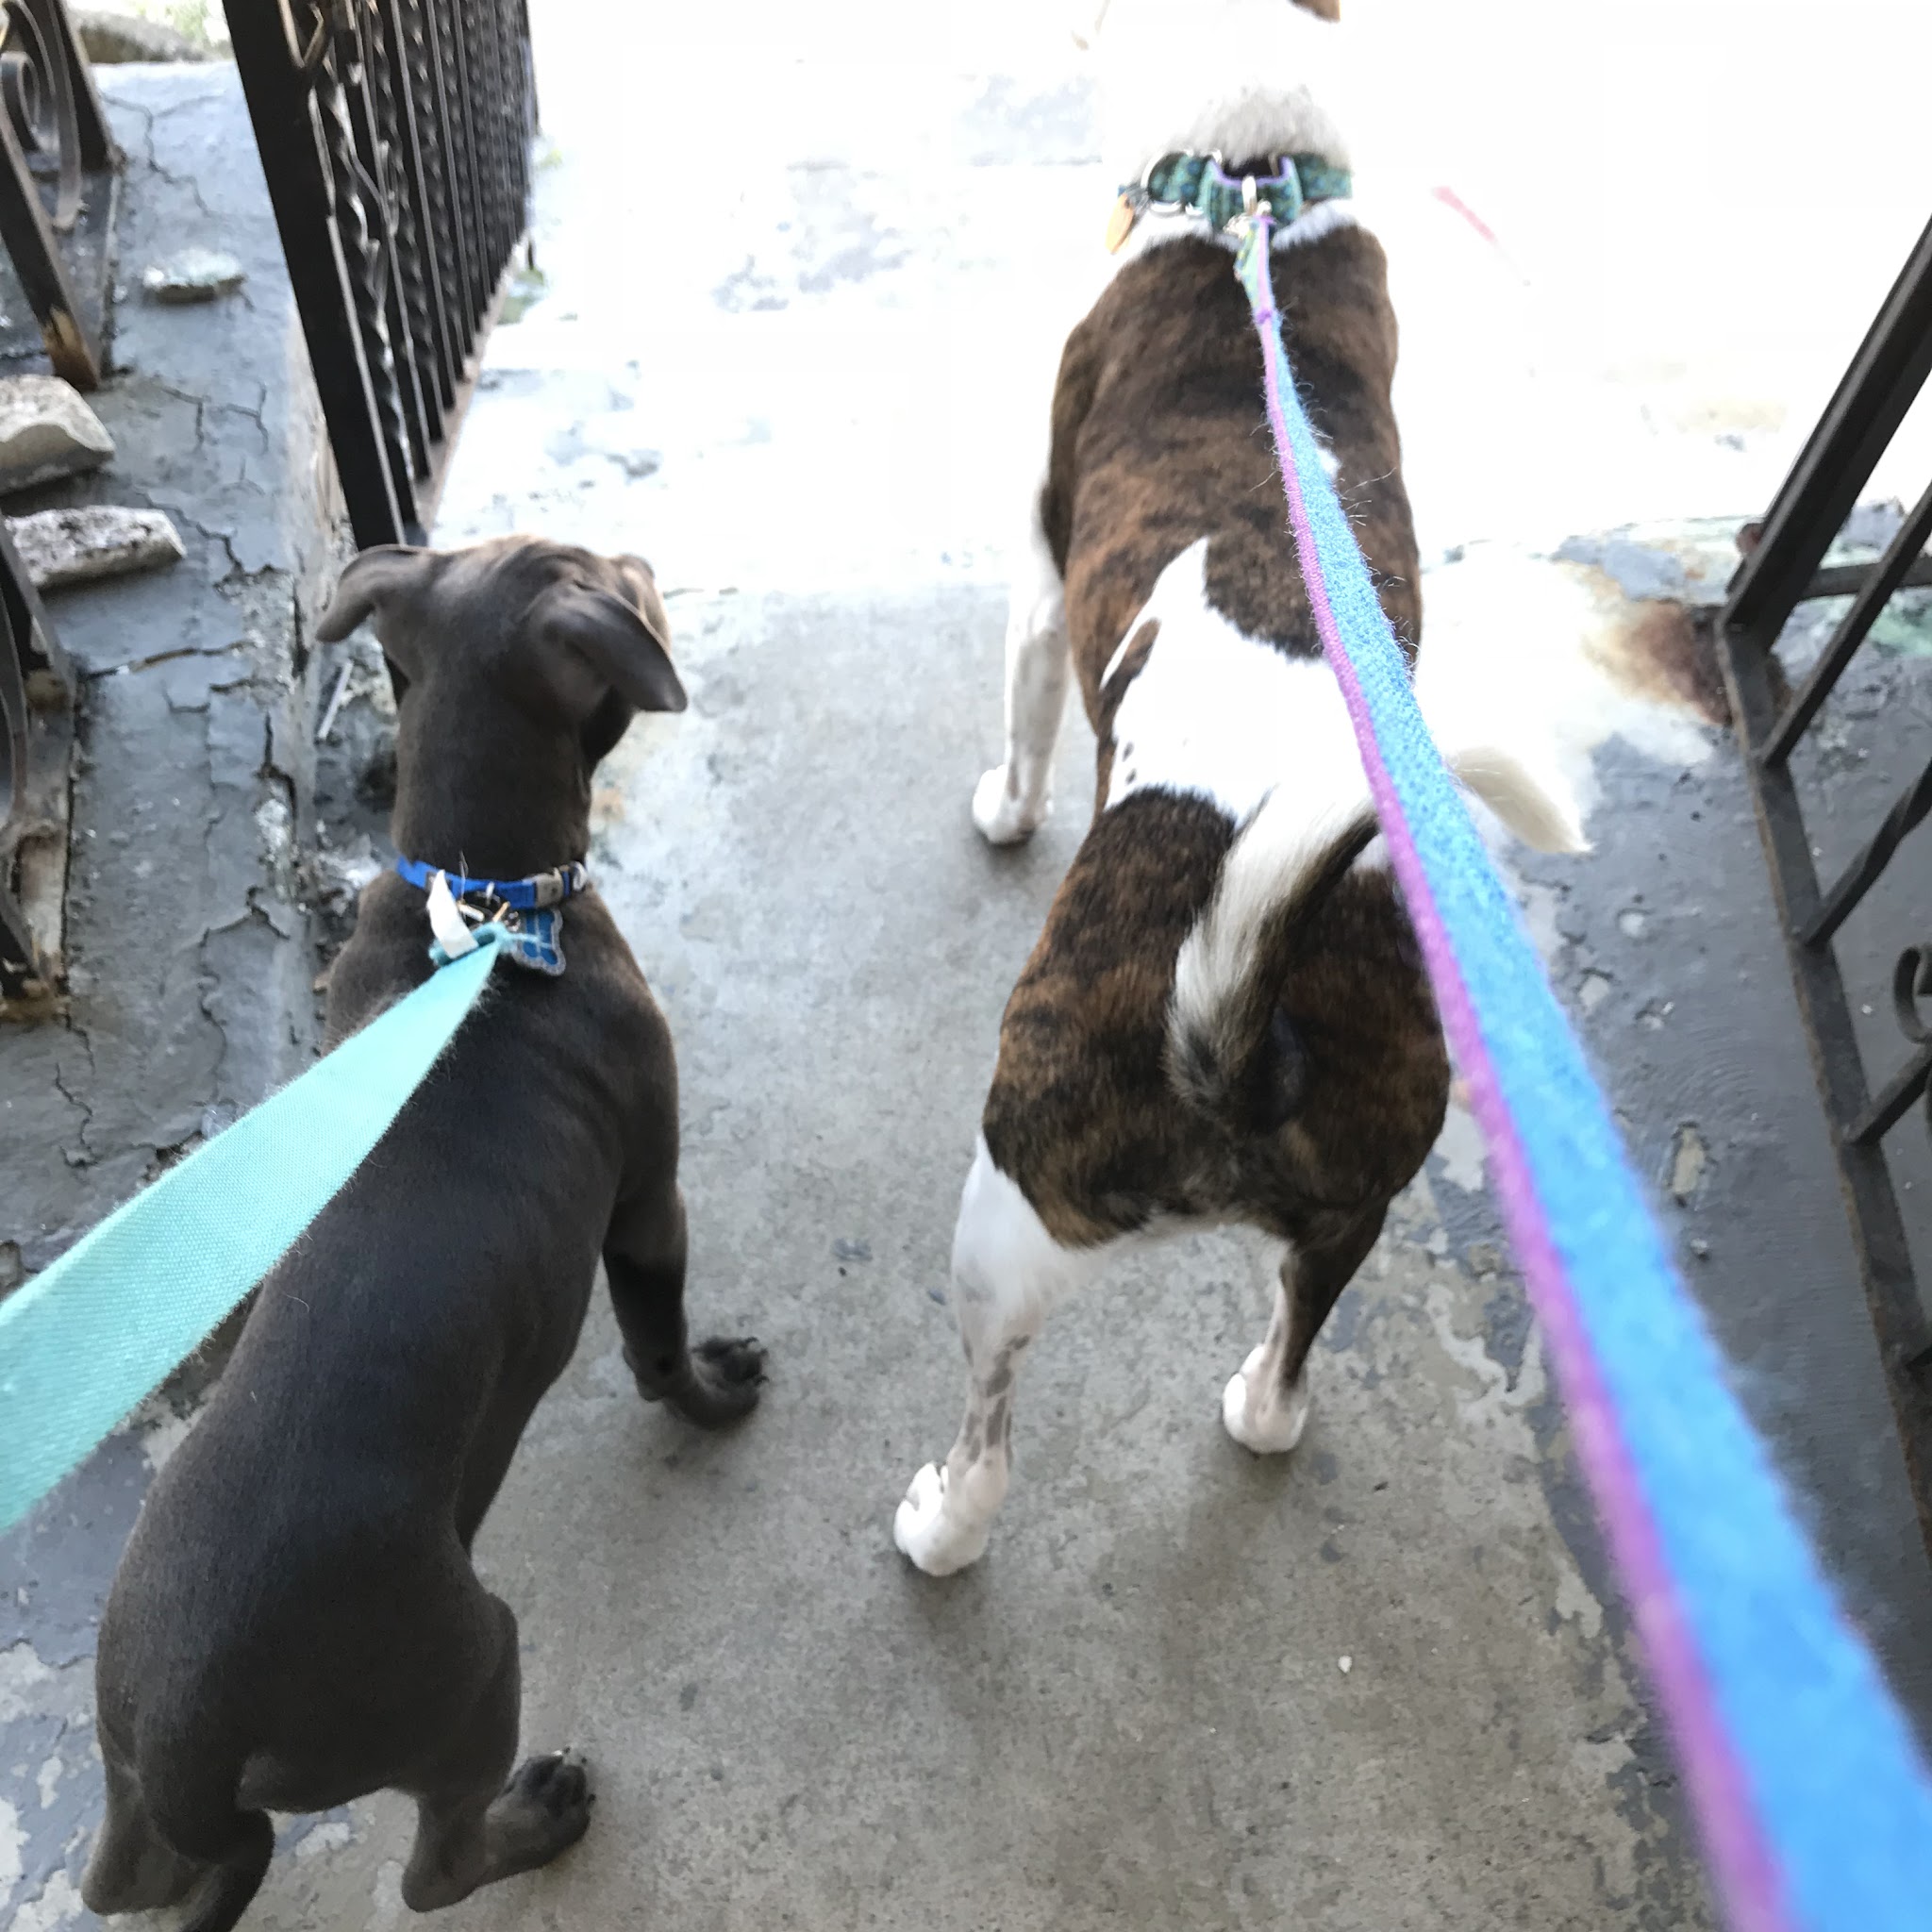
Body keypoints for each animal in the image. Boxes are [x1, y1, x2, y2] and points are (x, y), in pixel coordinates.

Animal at [82, 538, 766, 1930]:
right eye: (614, 578)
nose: (645, 558)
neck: (480, 903)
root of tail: (181, 1738)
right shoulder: (648, 1195)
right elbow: (658, 1343)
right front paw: (717, 1394)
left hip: (127, 1773)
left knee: (136, 1876)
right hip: (469, 1663)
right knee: (434, 1868)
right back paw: (541, 1816)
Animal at [894, 0, 1582, 1575]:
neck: (1251, 185)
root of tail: (1248, 1039)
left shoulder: (1039, 584)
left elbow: (1026, 724)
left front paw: (1004, 809)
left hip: (1003, 1212)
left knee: (991, 1440)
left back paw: (937, 1525)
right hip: (1350, 1218)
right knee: (1283, 1374)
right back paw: (1259, 1408)